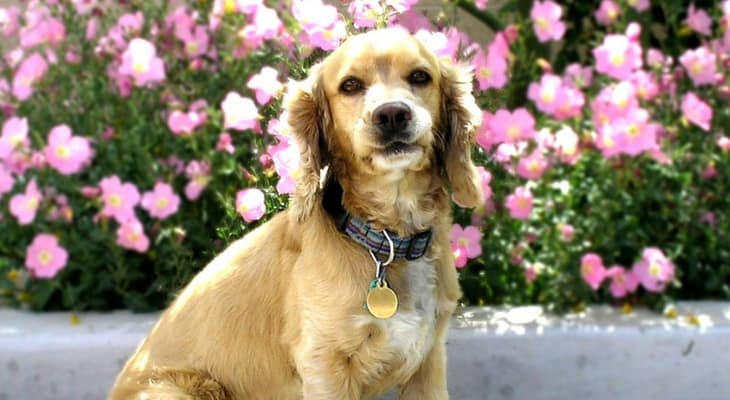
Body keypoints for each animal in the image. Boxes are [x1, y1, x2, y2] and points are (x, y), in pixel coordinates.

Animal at [108, 28, 484, 400]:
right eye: (350, 85)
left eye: (420, 76)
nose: (392, 114)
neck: (388, 241)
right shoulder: (324, 363)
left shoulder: (428, 361)